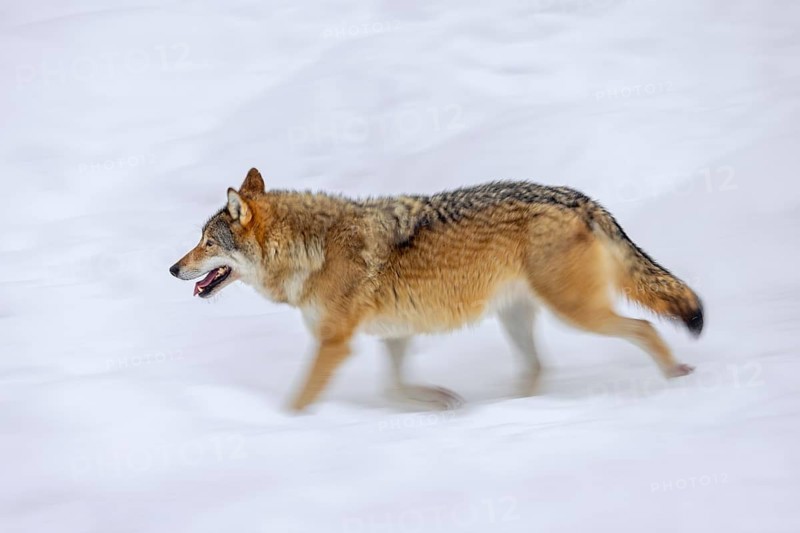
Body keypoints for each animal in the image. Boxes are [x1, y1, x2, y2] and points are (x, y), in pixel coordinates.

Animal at [170, 168, 703, 411]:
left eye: (206, 243)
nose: (174, 269)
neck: (310, 247)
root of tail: (581, 199)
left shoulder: (335, 342)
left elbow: (300, 399)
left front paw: (284, 424)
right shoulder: (393, 333)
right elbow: (393, 386)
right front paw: (440, 401)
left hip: (577, 313)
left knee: (643, 328)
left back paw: (676, 377)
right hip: (519, 317)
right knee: (537, 367)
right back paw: (513, 408)